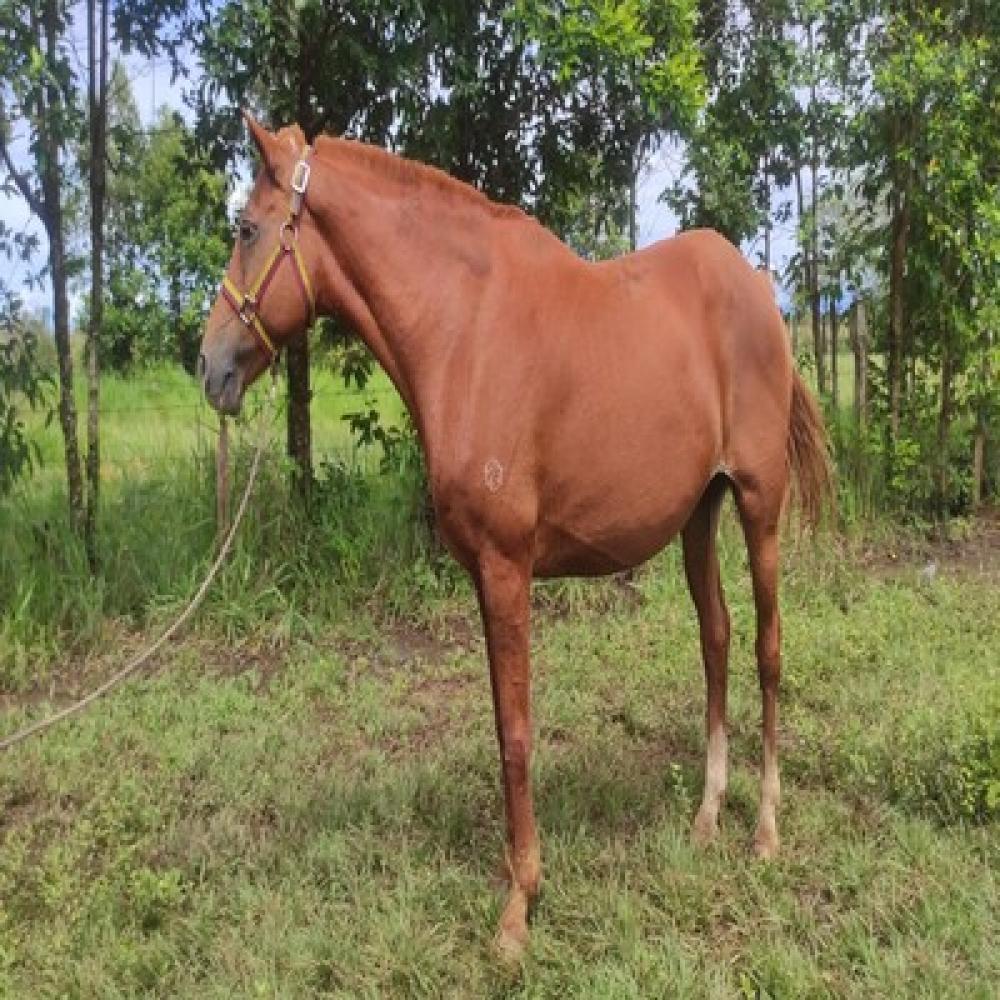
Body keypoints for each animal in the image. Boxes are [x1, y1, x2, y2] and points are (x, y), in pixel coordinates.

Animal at [198, 114, 831, 961]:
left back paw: (763, 830)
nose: (209, 366)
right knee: (717, 641)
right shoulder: (481, 574)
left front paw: (518, 908)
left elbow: (519, 735)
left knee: (766, 649)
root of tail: (758, 290)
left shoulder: (507, 567)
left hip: (760, 505)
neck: (465, 329)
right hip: (701, 513)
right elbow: (504, 725)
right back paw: (705, 818)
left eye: (246, 228)